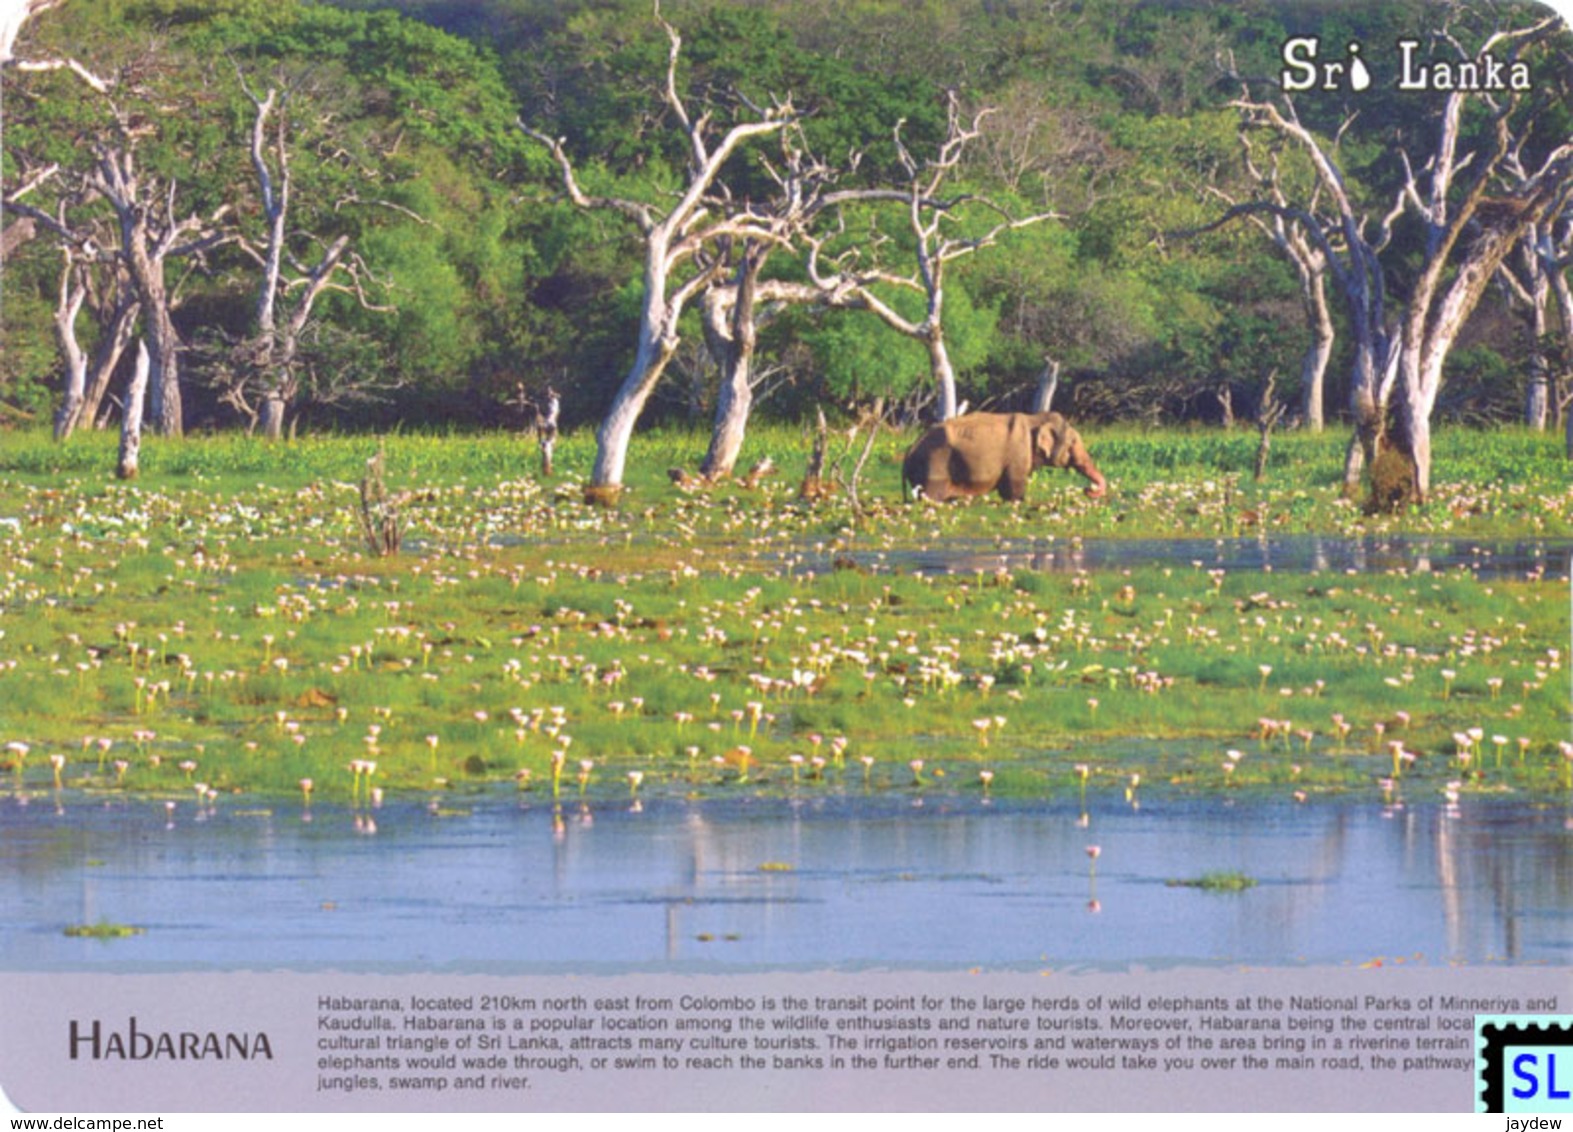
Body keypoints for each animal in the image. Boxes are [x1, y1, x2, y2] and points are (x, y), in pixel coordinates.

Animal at [899, 411, 1107, 499]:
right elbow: (1013, 489)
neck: (1035, 417)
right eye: (1073, 443)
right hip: (935, 465)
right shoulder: (1018, 453)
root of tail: (910, 450)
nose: (1088, 490)